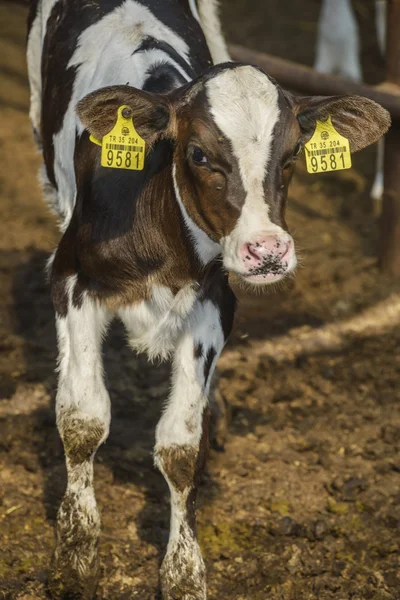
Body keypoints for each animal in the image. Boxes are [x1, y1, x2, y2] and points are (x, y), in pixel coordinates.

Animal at [26, 0, 390, 596]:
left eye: (291, 156)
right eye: (197, 153)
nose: (268, 250)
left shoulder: (214, 305)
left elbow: (181, 446)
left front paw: (184, 572)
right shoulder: (72, 279)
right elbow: (82, 420)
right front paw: (75, 555)